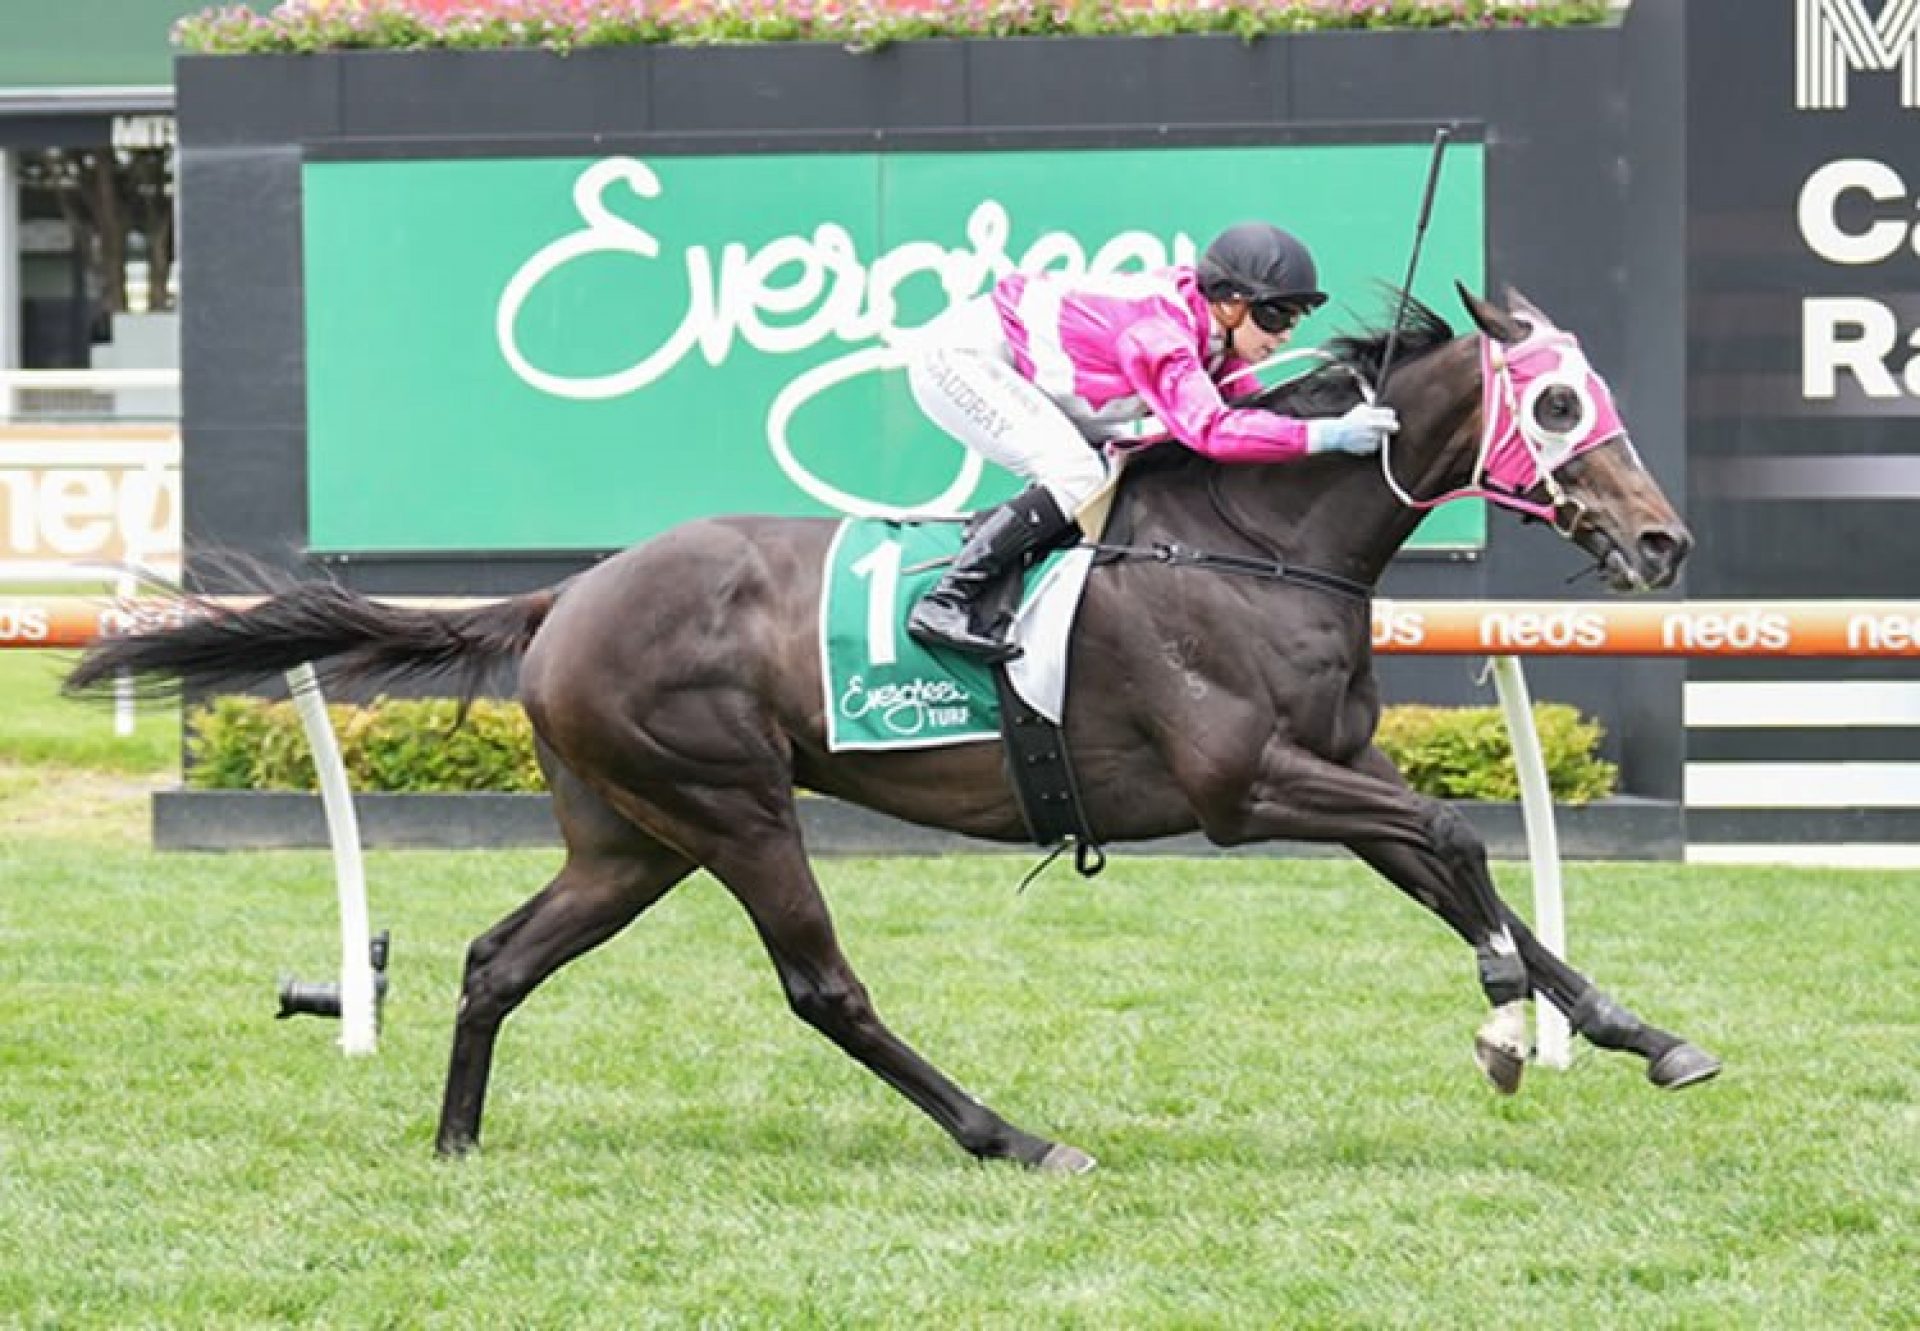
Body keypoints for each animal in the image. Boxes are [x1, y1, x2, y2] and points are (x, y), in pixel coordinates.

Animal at [71, 286, 1728, 1167]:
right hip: (732, 805)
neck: (1260, 539)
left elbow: (1468, 868)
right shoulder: (1248, 783)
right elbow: (1459, 840)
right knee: (823, 986)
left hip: (632, 835)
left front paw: (1633, 1030)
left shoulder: (1340, 764)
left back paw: (457, 1138)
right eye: (1563, 402)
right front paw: (1505, 1017)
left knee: (498, 955)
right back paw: (1013, 1134)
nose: (1664, 546)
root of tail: (572, 589)